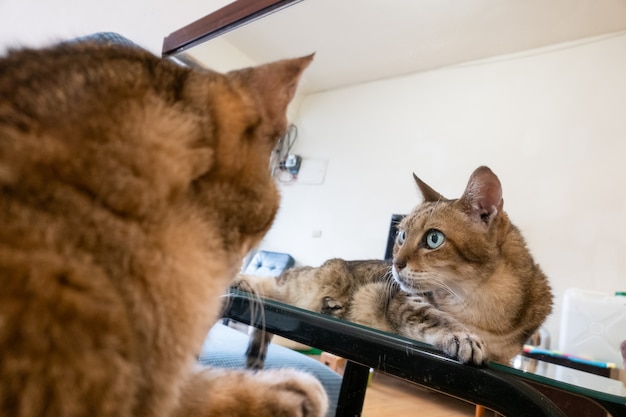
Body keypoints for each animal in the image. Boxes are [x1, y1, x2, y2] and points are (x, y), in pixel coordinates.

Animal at [234, 166, 552, 364]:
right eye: (401, 235)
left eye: (433, 238)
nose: (394, 264)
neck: (483, 307)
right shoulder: (406, 300)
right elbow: (436, 318)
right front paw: (461, 336)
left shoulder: (506, 354)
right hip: (309, 281)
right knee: (274, 282)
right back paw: (242, 281)